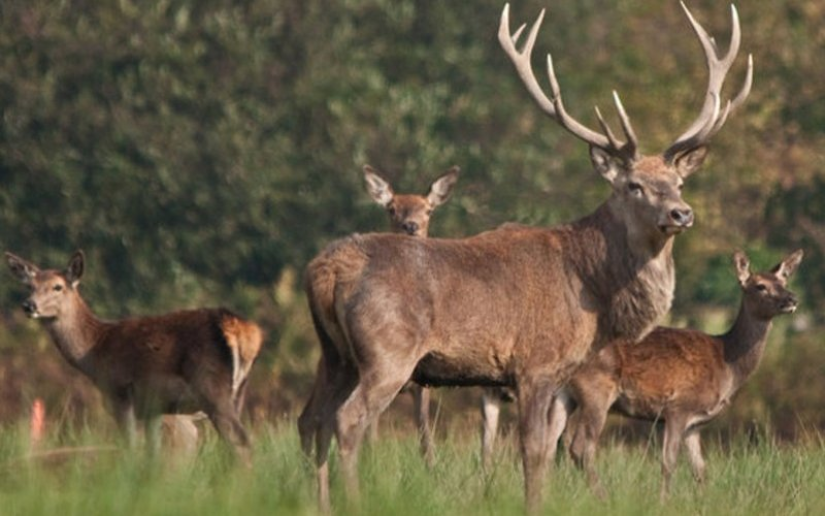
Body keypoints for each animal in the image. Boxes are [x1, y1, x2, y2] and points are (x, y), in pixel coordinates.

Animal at [5, 250, 263, 462]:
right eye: (29, 286)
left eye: (58, 286)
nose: (28, 305)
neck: (95, 352)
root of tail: (242, 329)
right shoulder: (153, 408)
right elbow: (152, 454)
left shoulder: (119, 391)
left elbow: (130, 447)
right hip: (238, 390)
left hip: (210, 385)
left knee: (242, 442)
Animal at [298, 164, 459, 467]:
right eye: (392, 209)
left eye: (428, 210)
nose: (411, 226)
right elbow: (371, 434)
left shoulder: (421, 384)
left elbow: (425, 433)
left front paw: (431, 467)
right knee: (311, 418)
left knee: (310, 417)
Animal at [548, 249, 803, 499]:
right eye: (760, 286)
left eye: (784, 281)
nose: (792, 299)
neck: (727, 364)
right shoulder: (678, 407)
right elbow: (669, 463)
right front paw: (664, 502)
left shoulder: (695, 423)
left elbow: (700, 470)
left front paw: (703, 502)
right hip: (596, 389)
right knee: (580, 447)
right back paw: (603, 497)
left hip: (564, 394)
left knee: (548, 444)